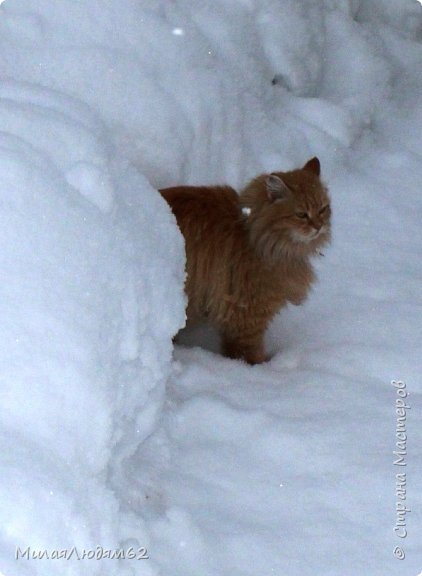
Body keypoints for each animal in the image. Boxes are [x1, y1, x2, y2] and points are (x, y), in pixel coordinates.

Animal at [160, 158, 332, 364]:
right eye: (301, 214)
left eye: (322, 209)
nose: (319, 226)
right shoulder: (247, 313)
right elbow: (248, 351)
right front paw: (259, 367)